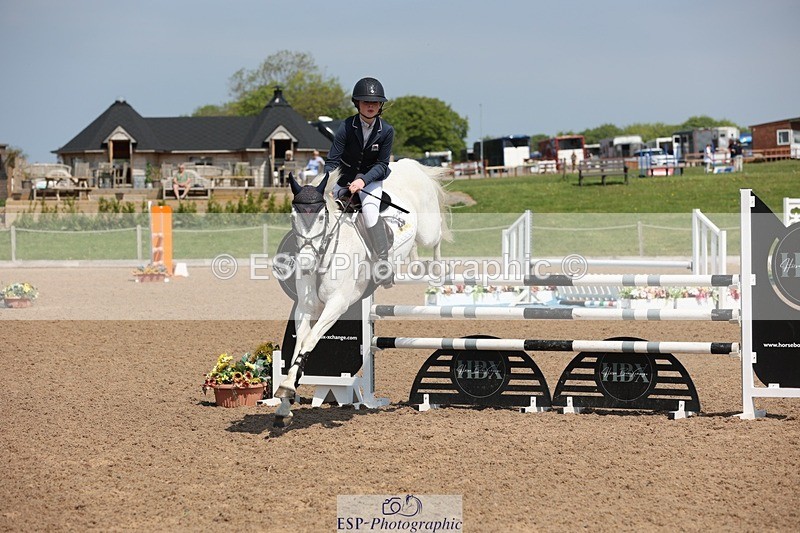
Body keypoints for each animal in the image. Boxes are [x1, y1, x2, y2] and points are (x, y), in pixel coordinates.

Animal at [273, 158, 451, 427]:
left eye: (321, 217)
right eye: (293, 217)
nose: (304, 263)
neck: (326, 250)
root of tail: (410, 164)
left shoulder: (337, 305)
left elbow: (311, 340)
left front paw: (287, 390)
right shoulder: (305, 308)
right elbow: (298, 345)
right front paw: (285, 402)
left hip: (427, 230)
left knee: (438, 235)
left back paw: (437, 272)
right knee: (416, 248)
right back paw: (412, 265)